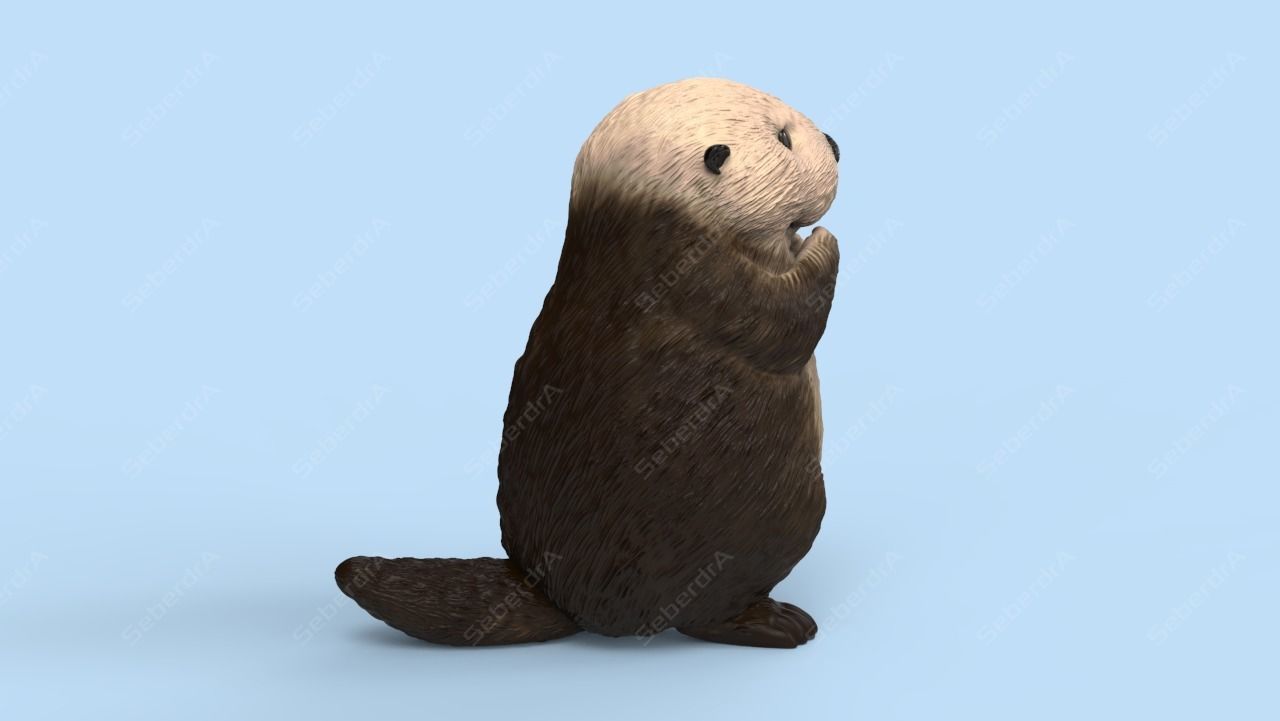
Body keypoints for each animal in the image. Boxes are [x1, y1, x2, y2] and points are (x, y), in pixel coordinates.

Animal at [336, 77, 841, 648]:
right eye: (783, 137)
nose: (835, 144)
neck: (645, 216)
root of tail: (561, 598)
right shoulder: (693, 269)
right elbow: (783, 321)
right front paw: (820, 241)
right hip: (781, 517)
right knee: (705, 613)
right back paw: (778, 622)